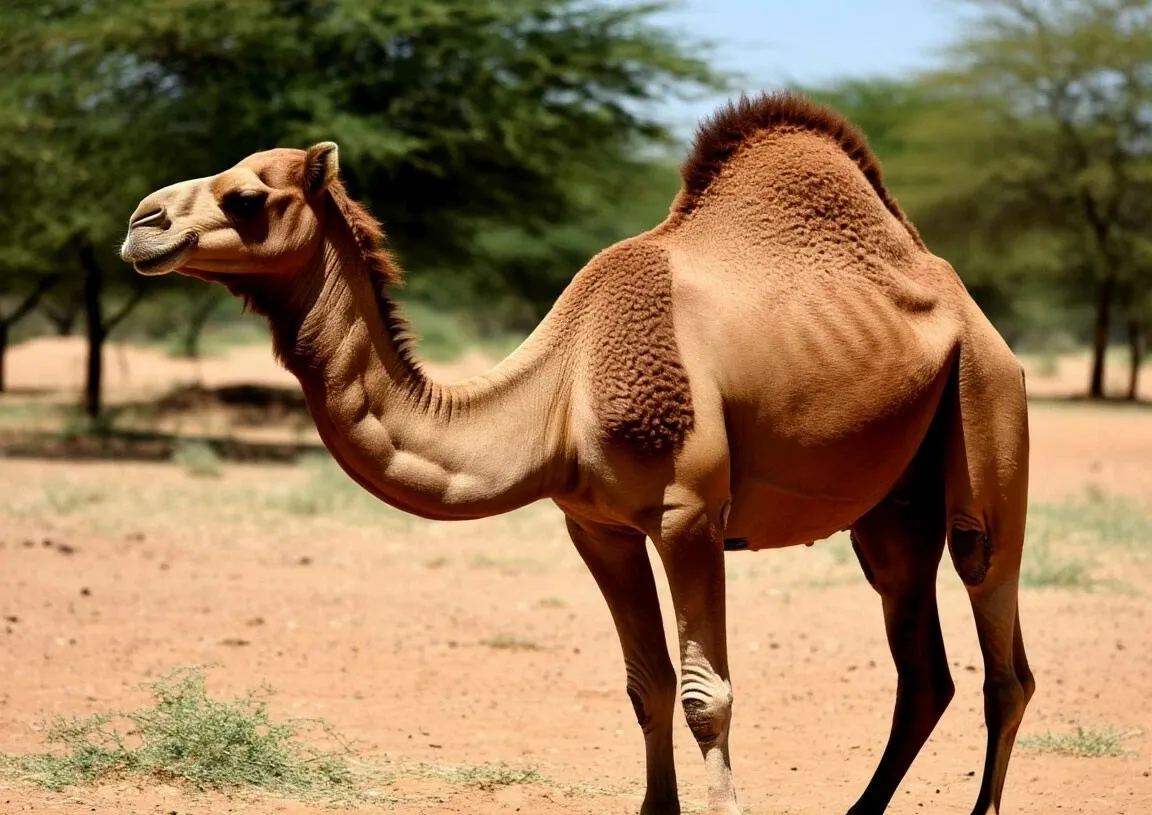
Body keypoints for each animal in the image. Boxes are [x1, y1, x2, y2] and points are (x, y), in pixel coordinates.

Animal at [119, 91, 1033, 815]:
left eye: (246, 195)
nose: (141, 223)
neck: (562, 390)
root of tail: (965, 305)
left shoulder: (690, 514)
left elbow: (706, 694)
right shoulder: (597, 525)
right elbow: (647, 683)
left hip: (987, 403)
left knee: (999, 636)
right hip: (892, 508)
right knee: (923, 663)